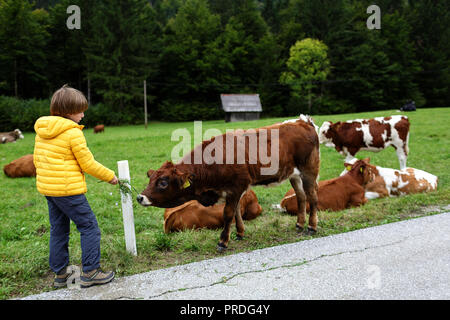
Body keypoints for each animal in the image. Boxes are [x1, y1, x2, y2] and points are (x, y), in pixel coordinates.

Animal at [137, 114, 320, 251]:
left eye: (163, 182)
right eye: (151, 178)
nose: (140, 197)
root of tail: (303, 121)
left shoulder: (236, 187)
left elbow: (228, 213)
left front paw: (222, 242)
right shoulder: (232, 190)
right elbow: (237, 211)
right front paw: (239, 233)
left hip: (309, 170)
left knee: (312, 196)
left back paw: (311, 227)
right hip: (294, 175)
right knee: (301, 197)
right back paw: (299, 224)